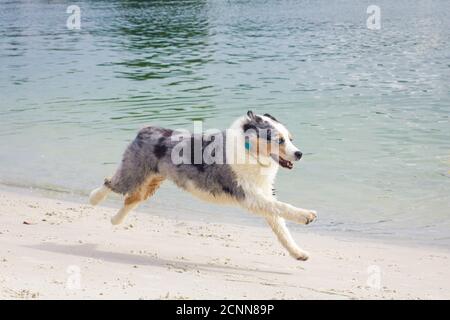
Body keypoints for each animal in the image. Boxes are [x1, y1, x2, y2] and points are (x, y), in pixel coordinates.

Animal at [89, 110, 316, 260]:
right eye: (279, 140)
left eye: (290, 139)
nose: (299, 153)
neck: (250, 151)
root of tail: (145, 129)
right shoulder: (249, 195)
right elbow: (282, 207)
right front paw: (306, 216)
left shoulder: (262, 194)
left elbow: (280, 227)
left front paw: (299, 253)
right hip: (133, 172)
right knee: (111, 183)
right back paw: (93, 199)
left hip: (150, 181)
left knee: (132, 198)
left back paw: (115, 220)